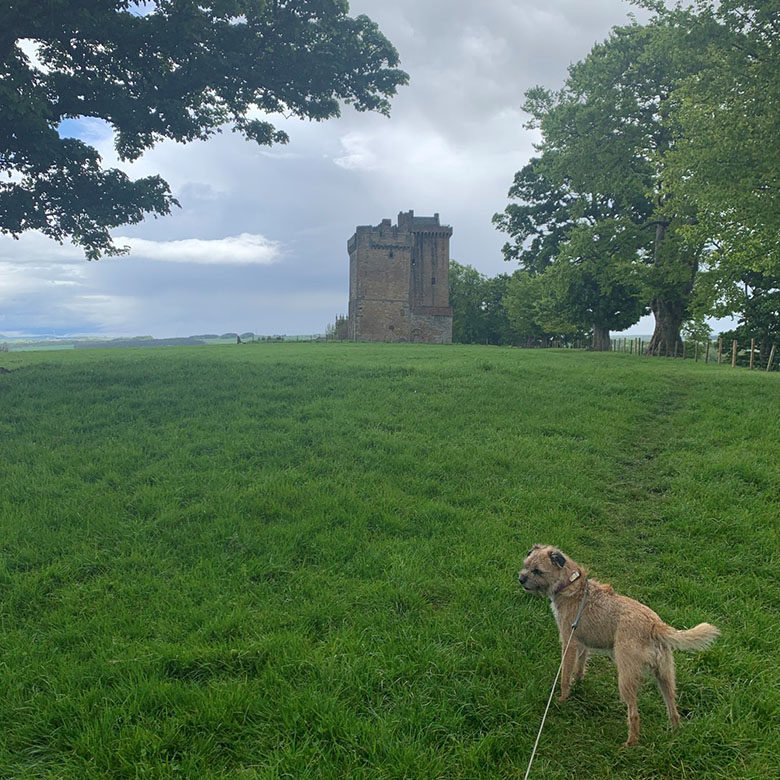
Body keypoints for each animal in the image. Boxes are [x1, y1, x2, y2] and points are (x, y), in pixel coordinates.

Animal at [516, 544, 720, 748]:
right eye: (526, 565)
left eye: (537, 571)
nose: (521, 579)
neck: (571, 584)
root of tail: (654, 624)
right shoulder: (583, 645)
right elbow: (580, 666)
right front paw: (579, 681)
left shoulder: (569, 643)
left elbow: (565, 675)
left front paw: (562, 698)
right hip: (665, 675)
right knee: (672, 707)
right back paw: (675, 733)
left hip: (626, 677)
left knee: (634, 713)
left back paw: (631, 742)